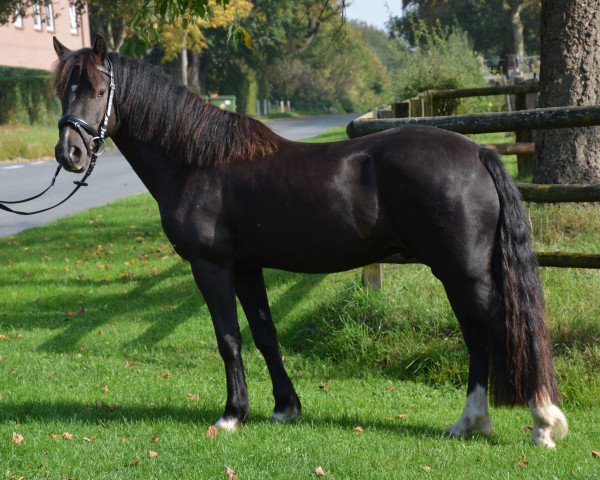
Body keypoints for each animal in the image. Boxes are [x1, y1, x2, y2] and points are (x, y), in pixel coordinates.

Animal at [51, 35, 568, 448]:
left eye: (99, 90)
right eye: (62, 91)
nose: (68, 153)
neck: (199, 161)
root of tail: (479, 153)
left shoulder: (211, 266)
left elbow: (228, 338)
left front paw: (232, 415)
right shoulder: (247, 267)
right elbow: (264, 334)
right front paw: (285, 407)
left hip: (466, 273)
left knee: (504, 329)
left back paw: (544, 424)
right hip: (455, 274)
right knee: (477, 338)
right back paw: (470, 423)